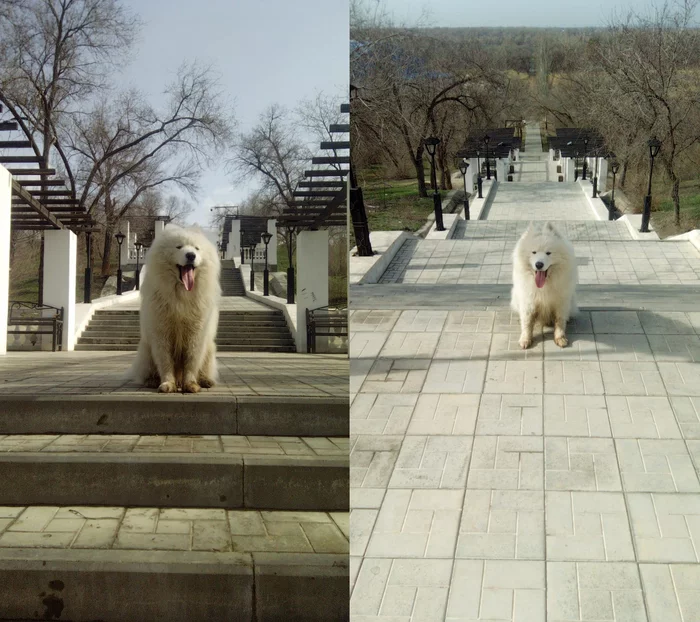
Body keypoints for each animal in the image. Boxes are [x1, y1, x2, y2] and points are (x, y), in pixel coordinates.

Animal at [130, 227, 220, 394]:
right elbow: (165, 361)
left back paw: (205, 381)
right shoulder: (161, 333)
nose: (191, 255)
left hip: (209, 348)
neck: (181, 296)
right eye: (179, 247)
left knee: (204, 368)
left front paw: (190, 385)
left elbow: (191, 360)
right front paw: (167, 384)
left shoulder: (196, 333)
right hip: (146, 350)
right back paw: (152, 381)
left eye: (197, 248)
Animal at [512, 223, 576, 352]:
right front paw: (525, 340)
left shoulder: (561, 302)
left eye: (548, 253)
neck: (544, 286)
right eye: (534, 252)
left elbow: (560, 320)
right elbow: (527, 322)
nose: (539, 264)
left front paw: (560, 338)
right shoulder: (528, 302)